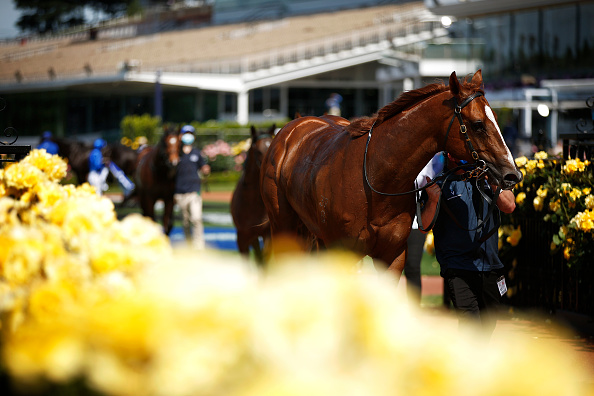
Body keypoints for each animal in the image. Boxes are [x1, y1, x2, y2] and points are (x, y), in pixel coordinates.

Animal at [260, 69, 520, 276]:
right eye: (478, 124)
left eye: (497, 119)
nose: (512, 175)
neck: (375, 181)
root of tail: (293, 128)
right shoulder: (344, 252)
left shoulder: (392, 255)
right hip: (283, 224)